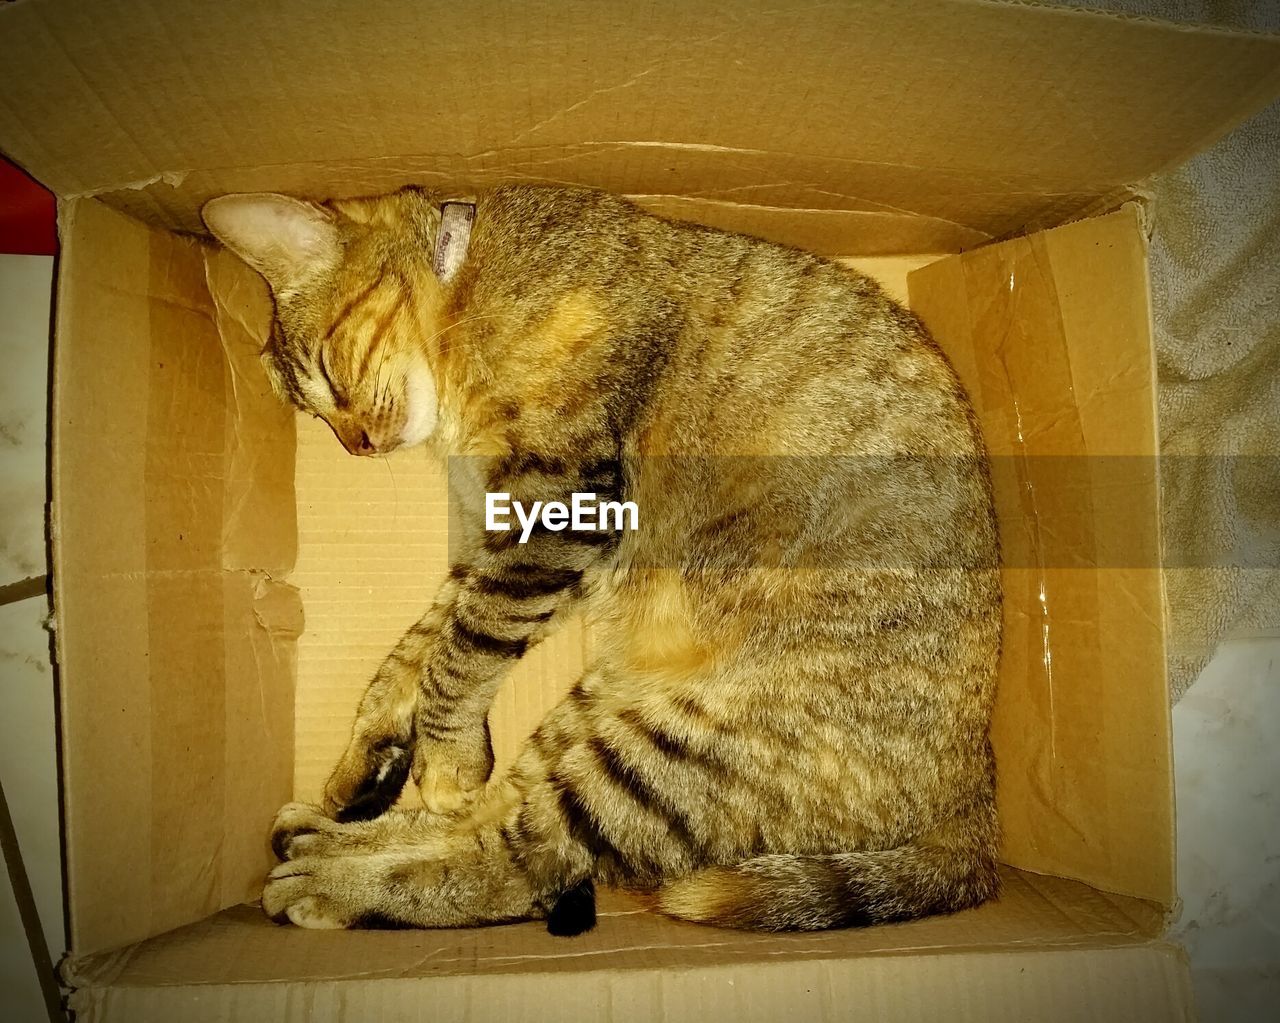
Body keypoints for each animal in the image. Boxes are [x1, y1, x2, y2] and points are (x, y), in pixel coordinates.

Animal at [204, 181, 998, 937]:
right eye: (317, 414)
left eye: (327, 373)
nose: (358, 445)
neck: (467, 277)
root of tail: (977, 797)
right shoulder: (498, 538)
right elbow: (417, 653)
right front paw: (367, 761)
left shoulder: (558, 504)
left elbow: (458, 654)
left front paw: (441, 757)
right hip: (595, 712)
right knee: (505, 816)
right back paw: (327, 833)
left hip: (668, 760)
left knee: (520, 861)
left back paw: (331, 880)